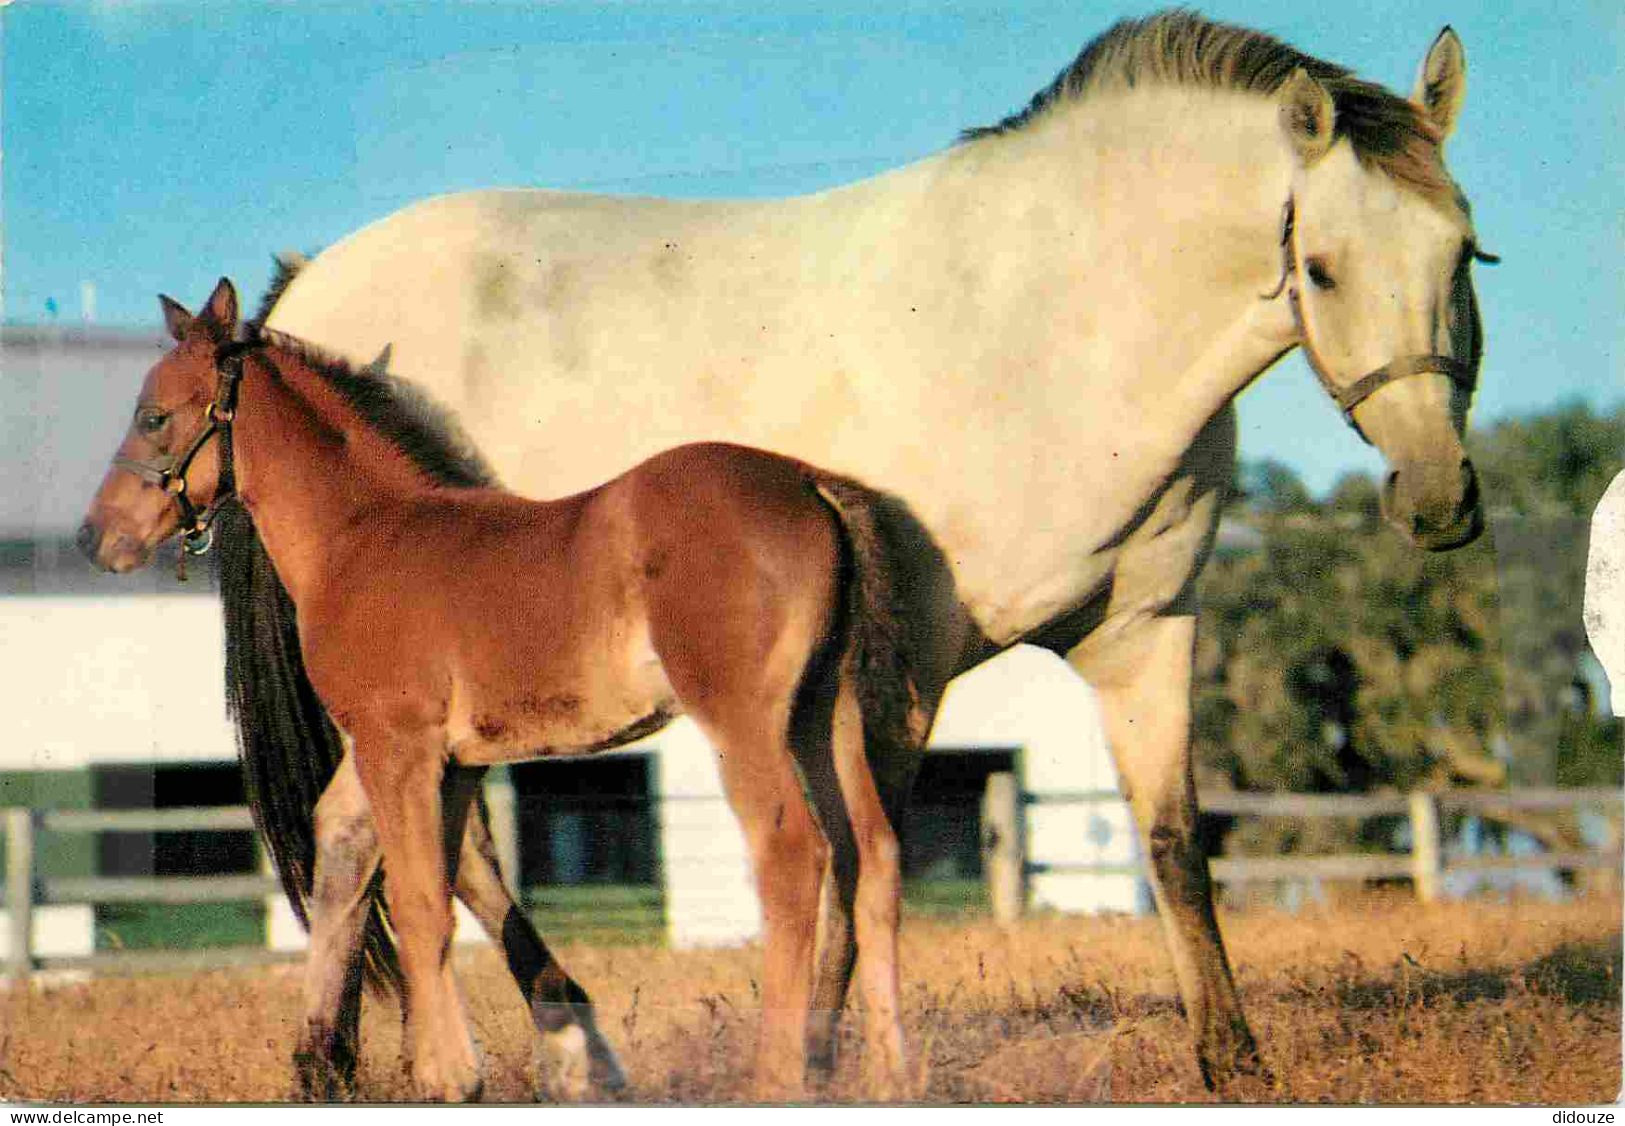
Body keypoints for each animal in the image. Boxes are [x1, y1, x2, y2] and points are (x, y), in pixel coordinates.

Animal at [240, 8, 1495, 1098]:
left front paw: (1231, 1061)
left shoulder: (1146, 635)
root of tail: (301, 293)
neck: (1053, 316)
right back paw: (544, 1047)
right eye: (1320, 266)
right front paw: (823, 1057)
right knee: (423, 845)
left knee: (361, 834)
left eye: (1465, 253)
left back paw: (333, 1061)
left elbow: (1173, 841)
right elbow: (854, 856)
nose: (1436, 495)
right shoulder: (911, 660)